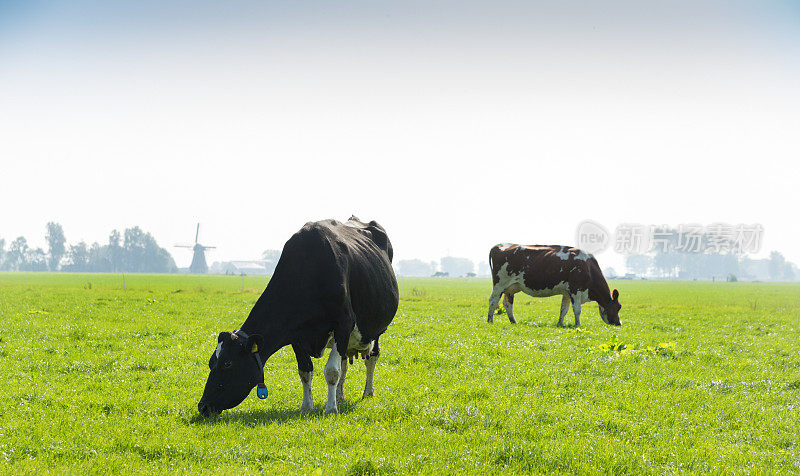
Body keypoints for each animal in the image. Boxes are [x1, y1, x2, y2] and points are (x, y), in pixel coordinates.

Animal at [197, 217, 396, 416]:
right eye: (211, 362)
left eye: (227, 363)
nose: (203, 406)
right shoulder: (296, 334)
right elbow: (305, 371)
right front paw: (307, 407)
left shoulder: (343, 324)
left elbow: (332, 371)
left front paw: (330, 409)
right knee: (345, 363)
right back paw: (340, 396)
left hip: (376, 330)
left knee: (372, 357)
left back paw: (367, 393)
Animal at [484, 245, 620, 328]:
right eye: (618, 307)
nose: (619, 323)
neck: (588, 267)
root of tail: (499, 246)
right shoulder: (576, 290)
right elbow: (577, 310)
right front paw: (578, 325)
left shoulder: (567, 293)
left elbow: (564, 309)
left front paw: (560, 324)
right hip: (499, 284)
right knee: (493, 301)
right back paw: (490, 320)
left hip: (510, 288)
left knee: (507, 304)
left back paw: (513, 321)